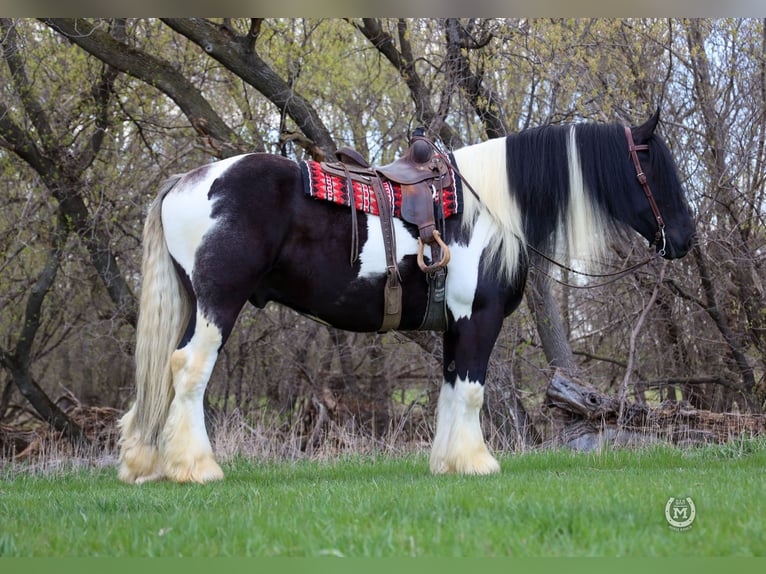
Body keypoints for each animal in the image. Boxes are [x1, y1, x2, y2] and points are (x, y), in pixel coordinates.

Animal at [118, 109, 696, 486]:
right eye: (655, 168)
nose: (687, 238)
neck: (491, 207)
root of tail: (187, 180)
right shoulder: (478, 318)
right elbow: (471, 391)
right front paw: (477, 463)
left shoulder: (455, 325)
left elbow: (451, 389)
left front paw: (449, 463)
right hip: (218, 303)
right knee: (188, 370)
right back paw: (196, 469)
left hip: (194, 305)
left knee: (167, 369)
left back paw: (146, 464)